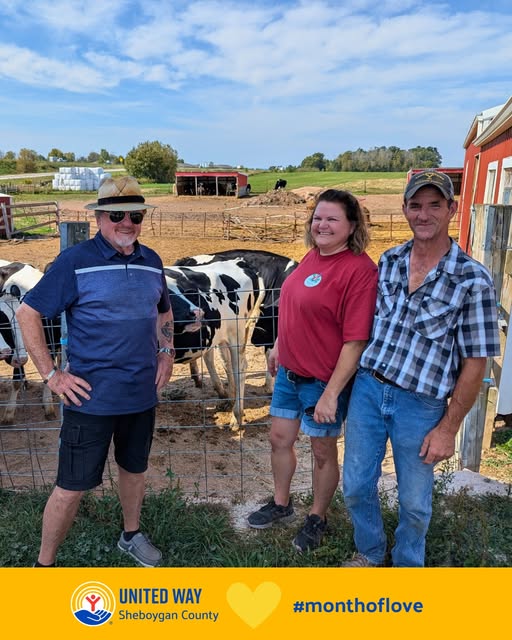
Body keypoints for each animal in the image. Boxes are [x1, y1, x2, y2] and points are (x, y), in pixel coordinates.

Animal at [164, 258, 265, 429]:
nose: (197, 312)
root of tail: (239, 262)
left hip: (236, 334)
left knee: (240, 368)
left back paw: (236, 416)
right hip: (221, 336)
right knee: (224, 362)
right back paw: (228, 397)